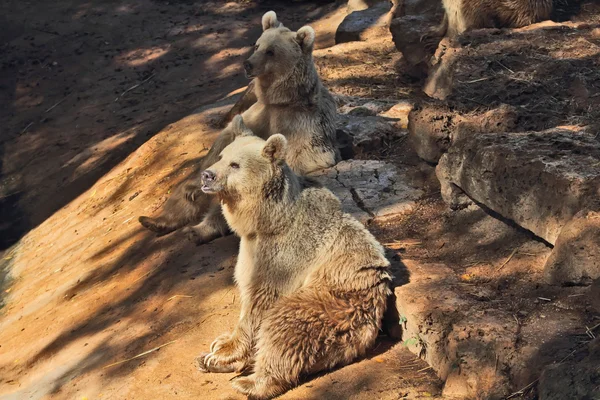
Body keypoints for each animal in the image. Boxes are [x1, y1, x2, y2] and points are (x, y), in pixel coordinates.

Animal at [138, 11, 340, 244]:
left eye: (271, 51)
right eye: (257, 45)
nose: (248, 64)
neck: (279, 100)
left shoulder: (300, 125)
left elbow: (301, 158)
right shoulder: (255, 117)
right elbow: (221, 143)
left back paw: (197, 230)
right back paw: (155, 220)